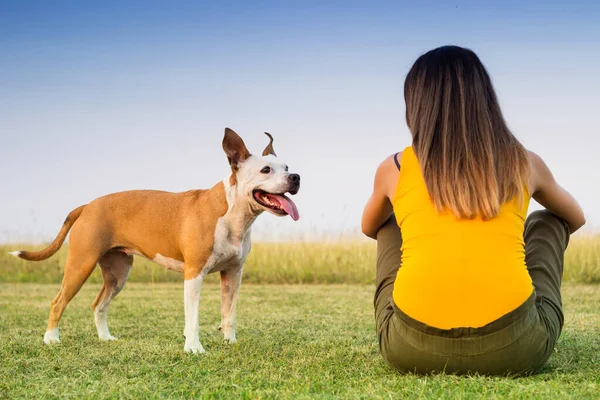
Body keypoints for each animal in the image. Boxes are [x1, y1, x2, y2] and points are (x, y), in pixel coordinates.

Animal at [9, 128, 300, 354]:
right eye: (265, 170)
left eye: (286, 168)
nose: (296, 177)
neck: (231, 212)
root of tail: (87, 206)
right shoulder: (194, 274)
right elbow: (193, 318)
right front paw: (193, 347)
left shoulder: (232, 274)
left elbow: (229, 313)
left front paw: (230, 342)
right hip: (80, 265)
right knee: (58, 301)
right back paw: (51, 339)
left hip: (118, 273)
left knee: (99, 304)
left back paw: (105, 338)